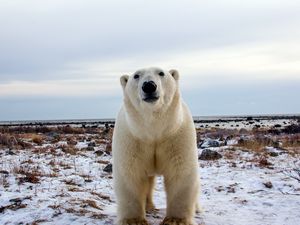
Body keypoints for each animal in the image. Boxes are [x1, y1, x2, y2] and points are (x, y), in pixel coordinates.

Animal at [112, 67, 199, 225]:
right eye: (136, 76)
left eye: (161, 73)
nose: (149, 86)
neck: (153, 131)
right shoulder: (132, 138)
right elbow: (131, 174)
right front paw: (133, 220)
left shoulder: (176, 136)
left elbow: (180, 172)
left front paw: (175, 220)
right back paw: (149, 207)